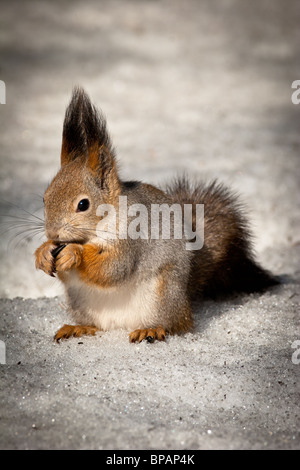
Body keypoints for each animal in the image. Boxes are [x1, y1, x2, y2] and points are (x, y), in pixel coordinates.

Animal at [35, 88, 278, 344]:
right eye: (45, 198)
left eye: (83, 204)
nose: (52, 232)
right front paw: (43, 252)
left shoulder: (132, 239)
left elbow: (113, 268)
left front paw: (74, 253)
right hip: (82, 301)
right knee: (96, 325)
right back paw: (79, 328)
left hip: (162, 294)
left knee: (176, 325)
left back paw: (151, 329)